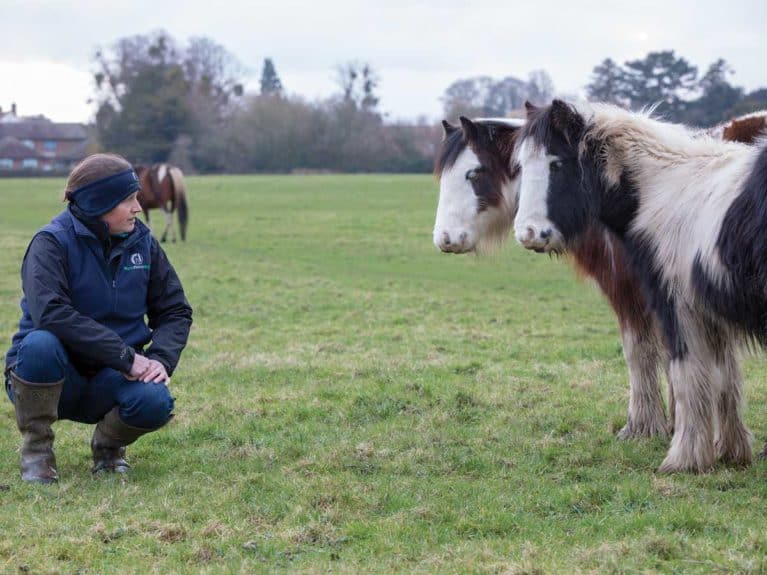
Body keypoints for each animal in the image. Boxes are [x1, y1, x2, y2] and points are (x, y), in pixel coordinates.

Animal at [512, 101, 767, 474]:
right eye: (519, 166)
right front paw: (730, 452)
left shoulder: (679, 308)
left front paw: (684, 459)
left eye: (556, 164)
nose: (529, 234)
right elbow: (725, 379)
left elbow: (688, 377)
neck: (665, 191)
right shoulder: (710, 314)